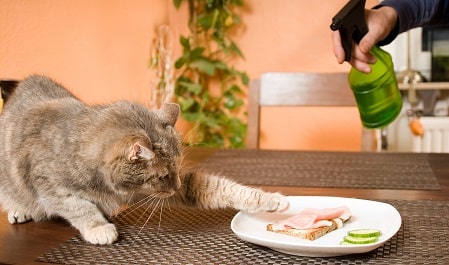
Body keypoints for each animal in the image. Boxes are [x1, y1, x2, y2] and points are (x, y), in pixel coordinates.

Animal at [0, 75, 288, 243]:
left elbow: (223, 189)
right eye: (162, 176)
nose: (175, 186)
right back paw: (19, 210)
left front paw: (271, 200)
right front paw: (98, 228)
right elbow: (79, 207)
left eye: (177, 169)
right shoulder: (48, 186)